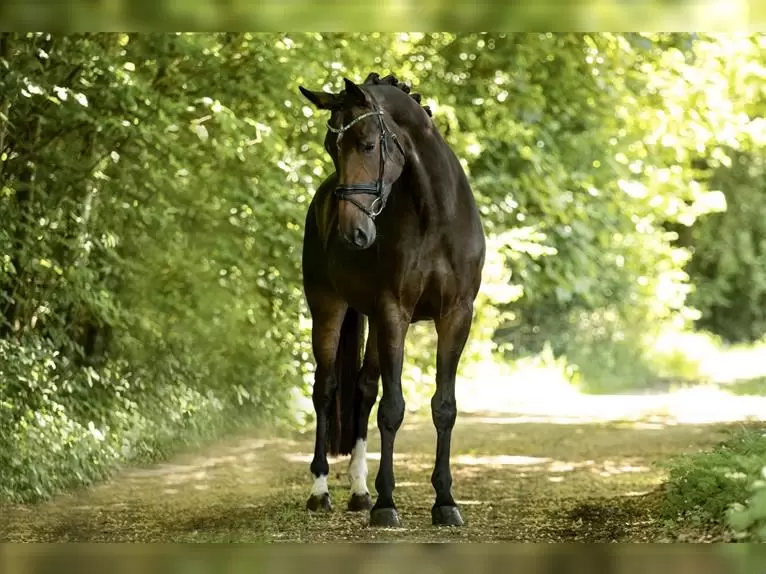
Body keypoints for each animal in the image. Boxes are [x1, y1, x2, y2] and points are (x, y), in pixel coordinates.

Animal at [298, 73, 486, 532]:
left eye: (368, 144)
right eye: (330, 147)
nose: (352, 233)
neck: (436, 216)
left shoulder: (457, 316)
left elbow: (443, 407)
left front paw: (445, 501)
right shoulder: (392, 313)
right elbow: (393, 408)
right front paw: (387, 503)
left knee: (363, 390)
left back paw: (359, 491)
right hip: (327, 308)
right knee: (325, 390)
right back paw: (321, 491)